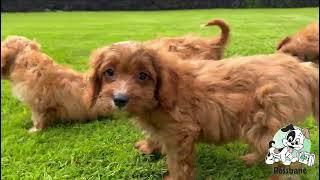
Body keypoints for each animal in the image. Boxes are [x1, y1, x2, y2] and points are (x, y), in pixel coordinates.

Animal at [89, 42, 318, 180]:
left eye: (143, 76)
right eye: (109, 72)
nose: (119, 99)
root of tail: (302, 68)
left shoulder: (180, 133)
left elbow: (178, 162)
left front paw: (174, 177)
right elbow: (154, 136)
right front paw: (148, 147)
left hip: (267, 122)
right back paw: (252, 159)